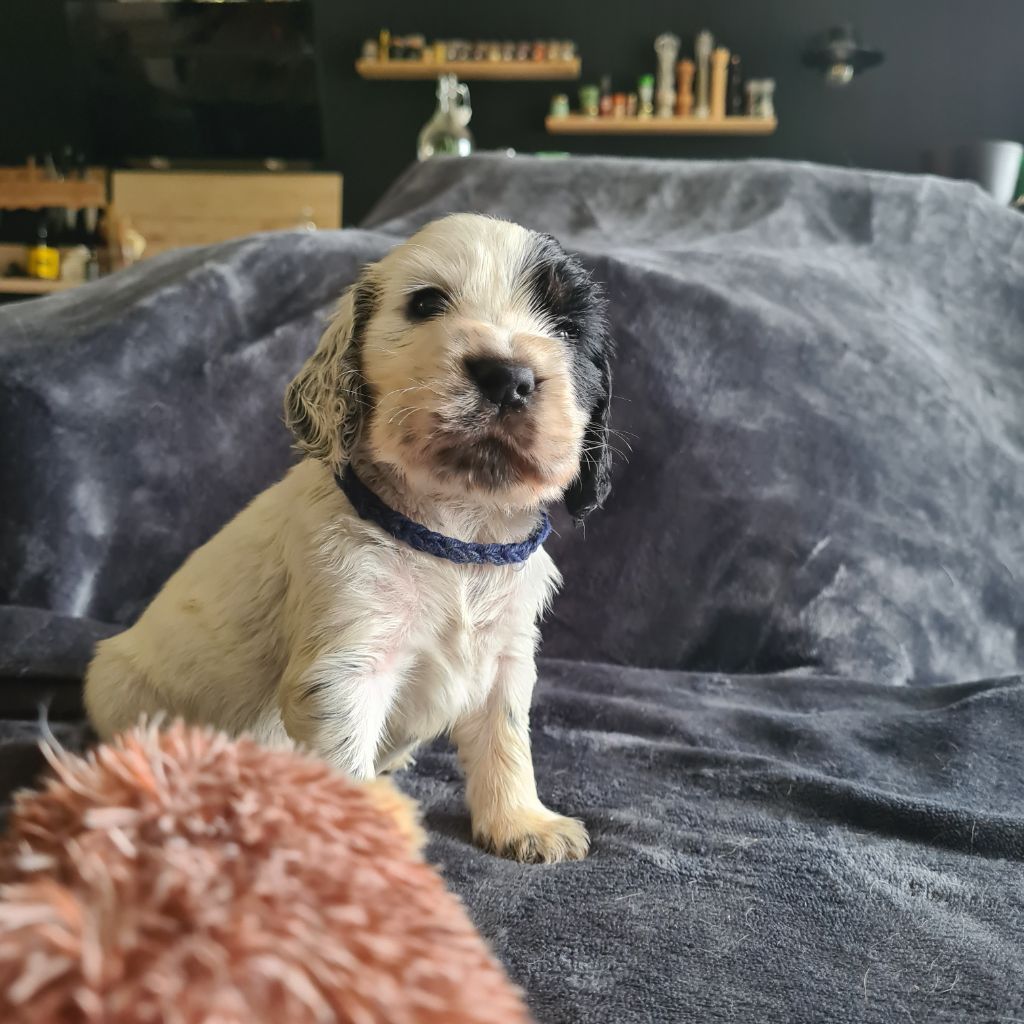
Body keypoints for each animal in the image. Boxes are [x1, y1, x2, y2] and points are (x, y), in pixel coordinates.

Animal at [85, 213, 613, 863]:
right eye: (426, 302)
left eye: (567, 327)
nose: (506, 377)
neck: (456, 534)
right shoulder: (346, 664)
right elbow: (344, 761)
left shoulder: (508, 654)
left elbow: (507, 739)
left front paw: (523, 822)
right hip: (120, 687)